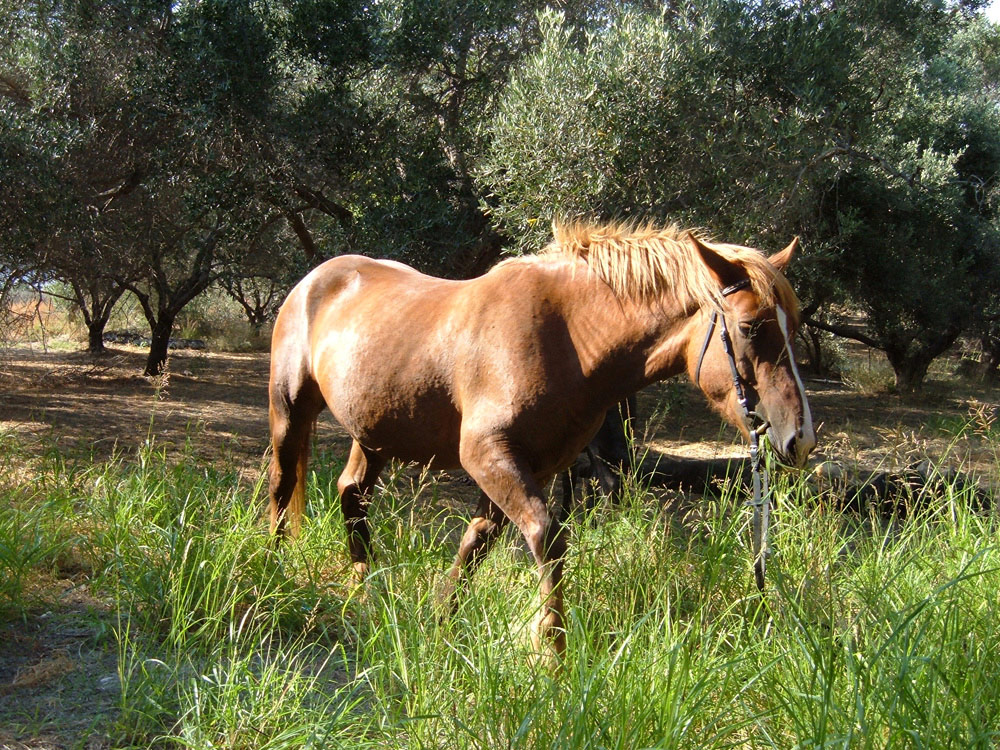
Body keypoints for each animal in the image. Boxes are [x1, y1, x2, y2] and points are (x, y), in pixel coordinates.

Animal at [267, 221, 816, 660]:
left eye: (793, 326)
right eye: (750, 327)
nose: (800, 438)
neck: (568, 337)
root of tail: (316, 279)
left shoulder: (528, 465)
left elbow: (477, 541)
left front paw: (441, 617)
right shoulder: (489, 456)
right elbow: (547, 537)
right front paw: (551, 649)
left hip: (374, 431)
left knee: (351, 493)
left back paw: (365, 590)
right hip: (289, 411)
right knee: (281, 485)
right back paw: (276, 573)